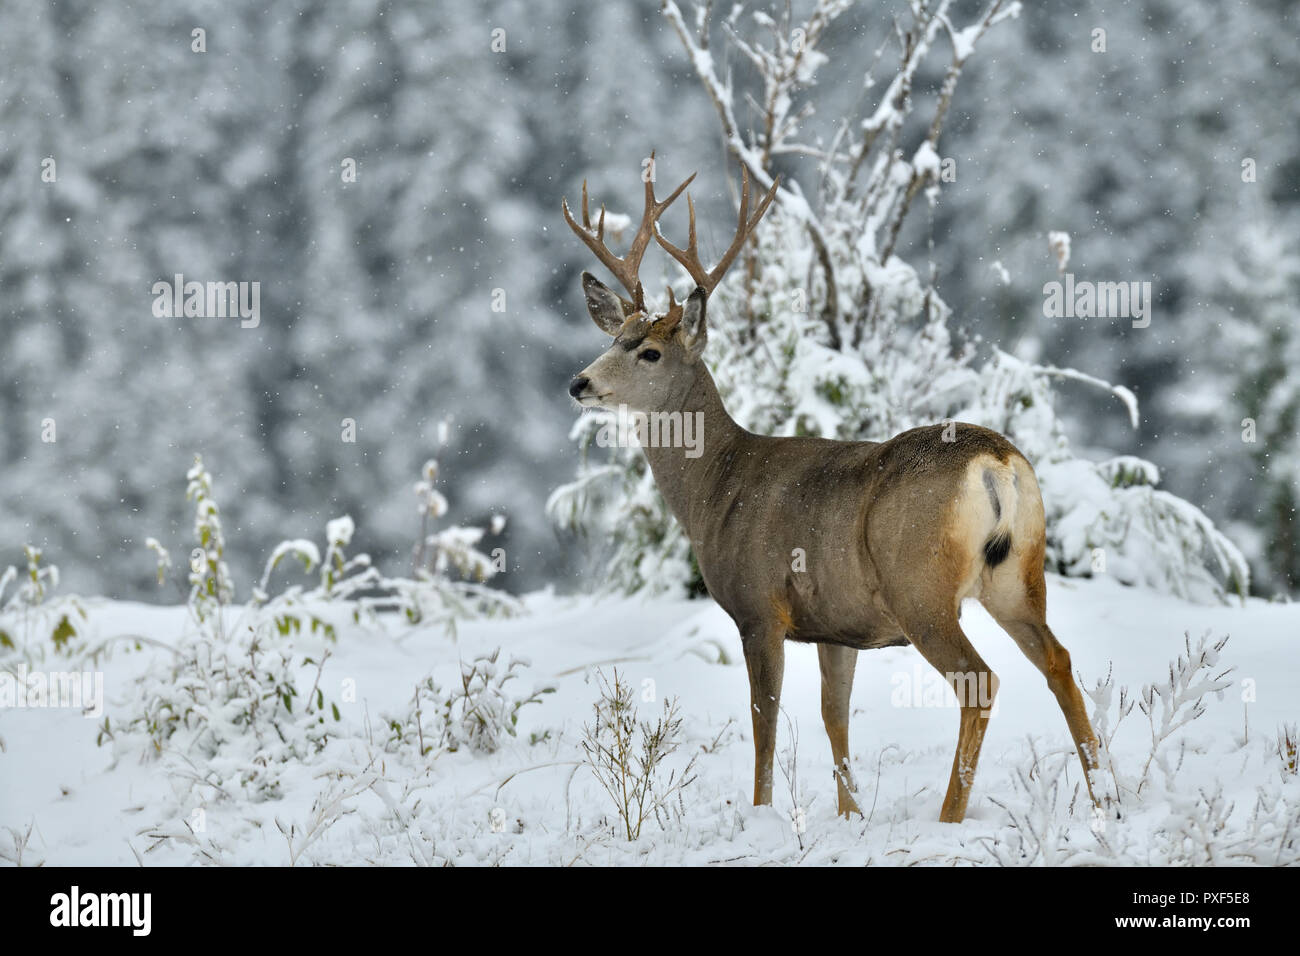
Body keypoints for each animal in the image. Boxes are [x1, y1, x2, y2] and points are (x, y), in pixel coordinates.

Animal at [564, 162, 1102, 822]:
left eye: (649, 351)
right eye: (613, 337)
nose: (579, 382)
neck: (717, 486)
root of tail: (996, 462)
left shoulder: (759, 607)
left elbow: (765, 724)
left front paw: (762, 815)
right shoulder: (835, 625)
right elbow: (834, 716)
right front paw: (851, 815)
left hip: (921, 587)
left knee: (980, 681)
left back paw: (949, 816)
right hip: (1018, 576)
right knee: (1059, 661)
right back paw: (1107, 797)